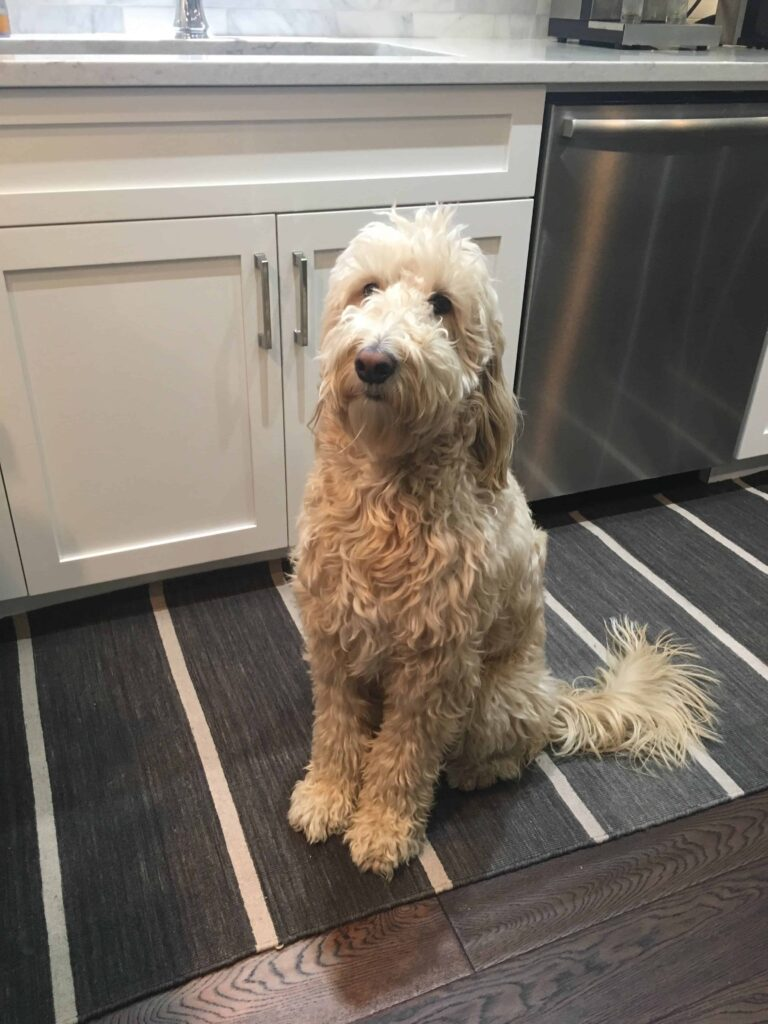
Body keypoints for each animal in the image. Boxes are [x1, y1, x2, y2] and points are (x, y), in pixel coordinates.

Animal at [286, 203, 716, 876]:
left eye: (441, 305)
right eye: (368, 289)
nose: (375, 361)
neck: (387, 497)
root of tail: (550, 695)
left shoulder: (435, 668)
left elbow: (403, 757)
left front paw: (383, 828)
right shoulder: (332, 637)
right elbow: (335, 729)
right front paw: (326, 796)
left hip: (488, 700)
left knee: (510, 751)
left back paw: (472, 772)